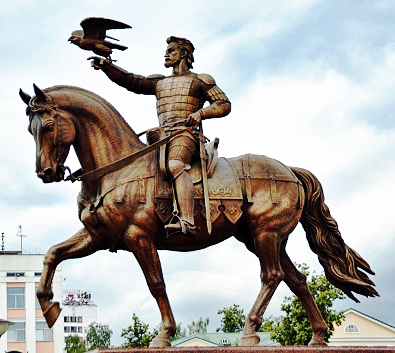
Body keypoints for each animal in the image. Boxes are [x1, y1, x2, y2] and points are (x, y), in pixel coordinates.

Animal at [20, 84, 378, 346]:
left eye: (48, 126)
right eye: (29, 129)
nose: (46, 173)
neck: (116, 170)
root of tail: (290, 171)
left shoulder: (139, 236)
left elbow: (156, 283)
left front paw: (164, 335)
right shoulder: (97, 236)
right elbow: (53, 254)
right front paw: (48, 306)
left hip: (266, 234)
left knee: (272, 276)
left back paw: (250, 331)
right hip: (263, 238)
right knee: (297, 280)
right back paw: (317, 336)